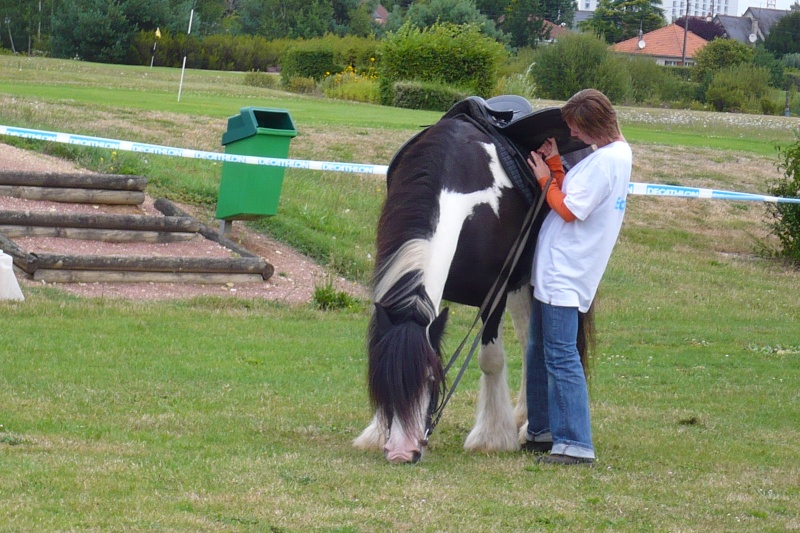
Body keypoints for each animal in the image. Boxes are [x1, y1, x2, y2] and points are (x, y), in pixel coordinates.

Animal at [354, 101, 592, 462]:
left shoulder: (494, 296)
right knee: (529, 340)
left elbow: (490, 361)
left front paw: (491, 437)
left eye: (432, 378)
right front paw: (375, 432)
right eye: (384, 381)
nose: (401, 452)